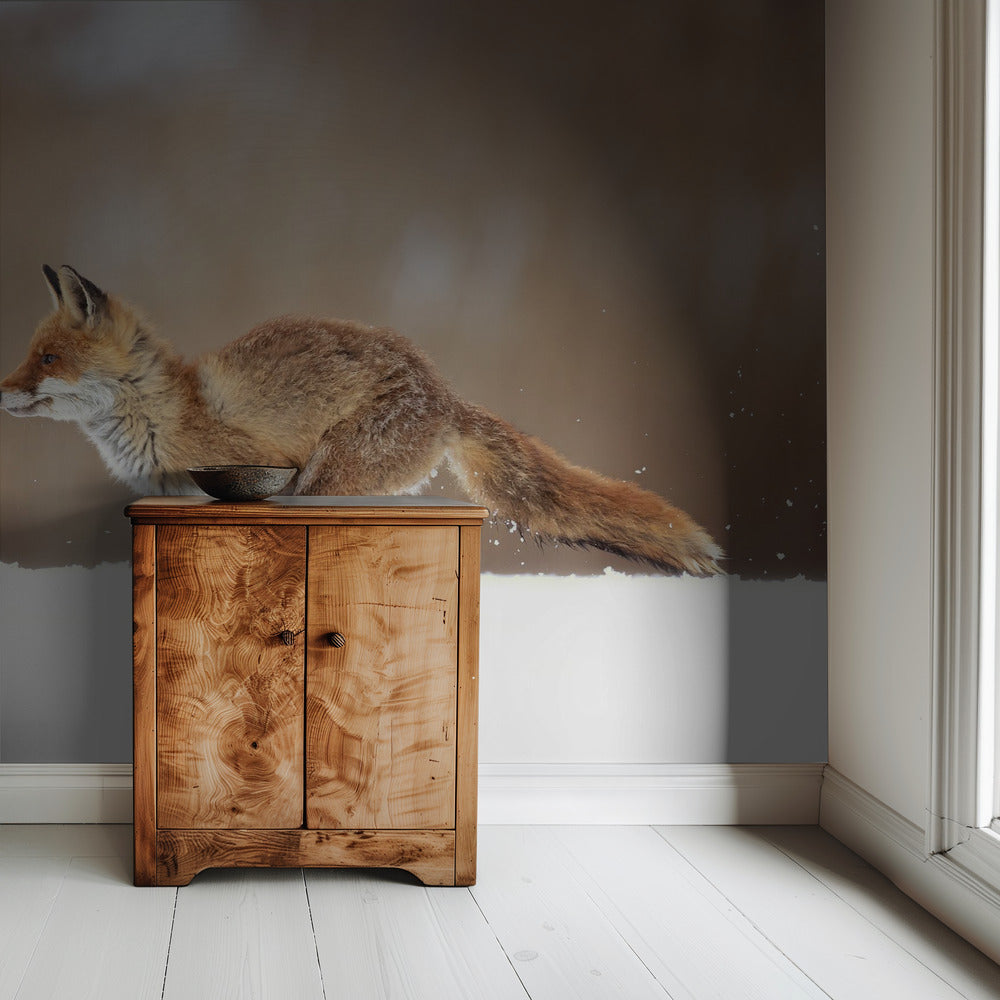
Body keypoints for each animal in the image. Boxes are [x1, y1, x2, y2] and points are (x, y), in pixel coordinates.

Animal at [0, 265, 722, 575]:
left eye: (48, 359)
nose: (0, 389)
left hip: (325, 480)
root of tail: (445, 393)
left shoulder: (264, 465)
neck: (164, 411)